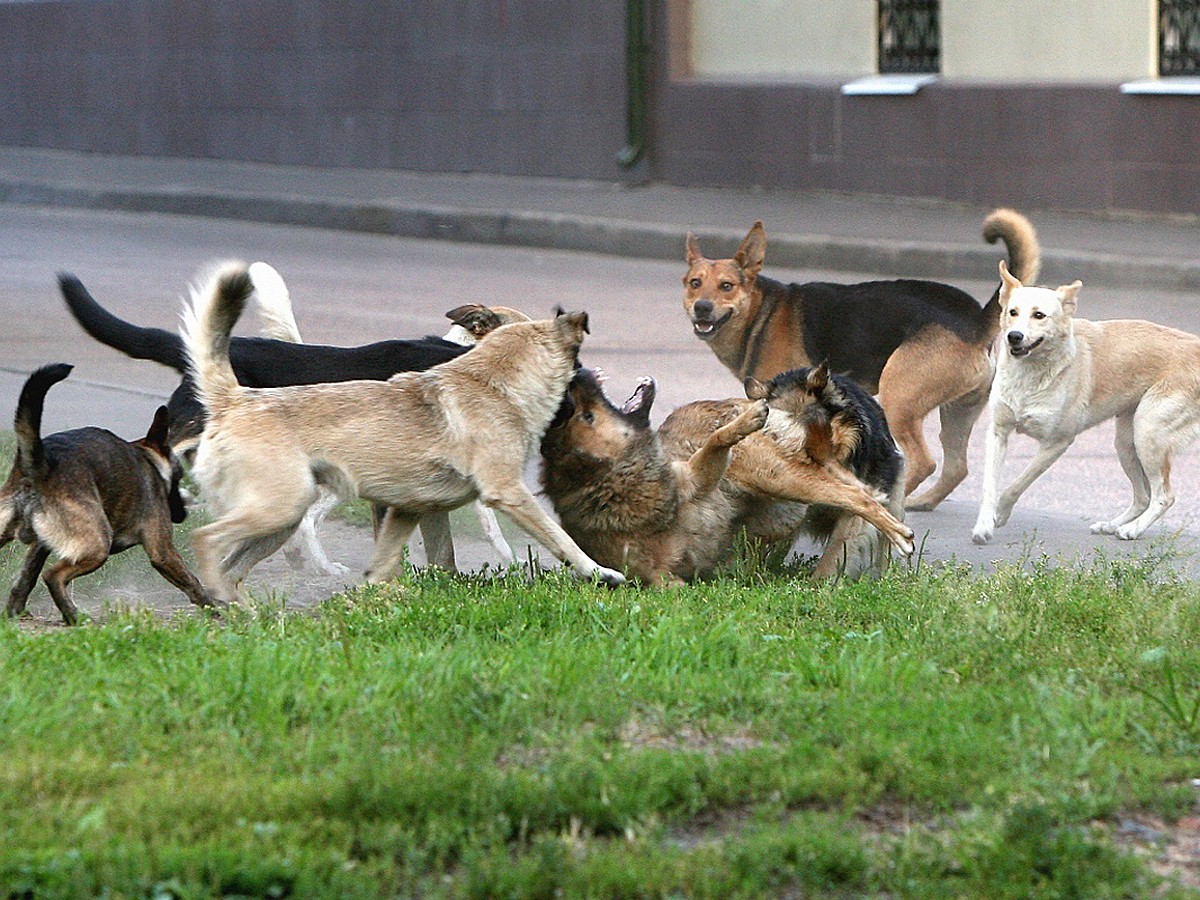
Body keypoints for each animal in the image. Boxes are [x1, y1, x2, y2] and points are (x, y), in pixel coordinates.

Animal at [1, 362, 216, 624]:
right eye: (177, 478)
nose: (183, 513)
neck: (148, 457)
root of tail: (41, 464)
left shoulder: (41, 545)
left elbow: (26, 577)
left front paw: (15, 609)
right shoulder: (162, 551)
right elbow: (191, 581)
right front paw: (217, 608)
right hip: (98, 545)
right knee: (53, 575)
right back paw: (74, 616)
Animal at [540, 369, 912, 588]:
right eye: (586, 416)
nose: (576, 374)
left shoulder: (698, 477)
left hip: (776, 476)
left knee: (860, 497)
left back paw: (900, 535)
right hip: (785, 484)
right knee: (858, 493)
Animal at [686, 207, 1041, 511]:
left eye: (727, 286)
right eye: (694, 284)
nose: (701, 307)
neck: (762, 314)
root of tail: (975, 323)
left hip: (899, 397)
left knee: (923, 462)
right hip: (957, 412)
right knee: (957, 467)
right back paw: (922, 502)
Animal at [969, 260, 1200, 542]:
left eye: (1039, 315)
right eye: (1013, 312)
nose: (1014, 336)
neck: (1031, 376)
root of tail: (1197, 346)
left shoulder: (1057, 443)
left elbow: (1015, 485)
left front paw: (1000, 514)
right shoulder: (997, 432)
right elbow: (990, 486)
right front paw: (984, 525)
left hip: (1148, 433)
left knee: (1164, 496)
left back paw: (1132, 529)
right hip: (1127, 443)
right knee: (1143, 496)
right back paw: (1112, 525)